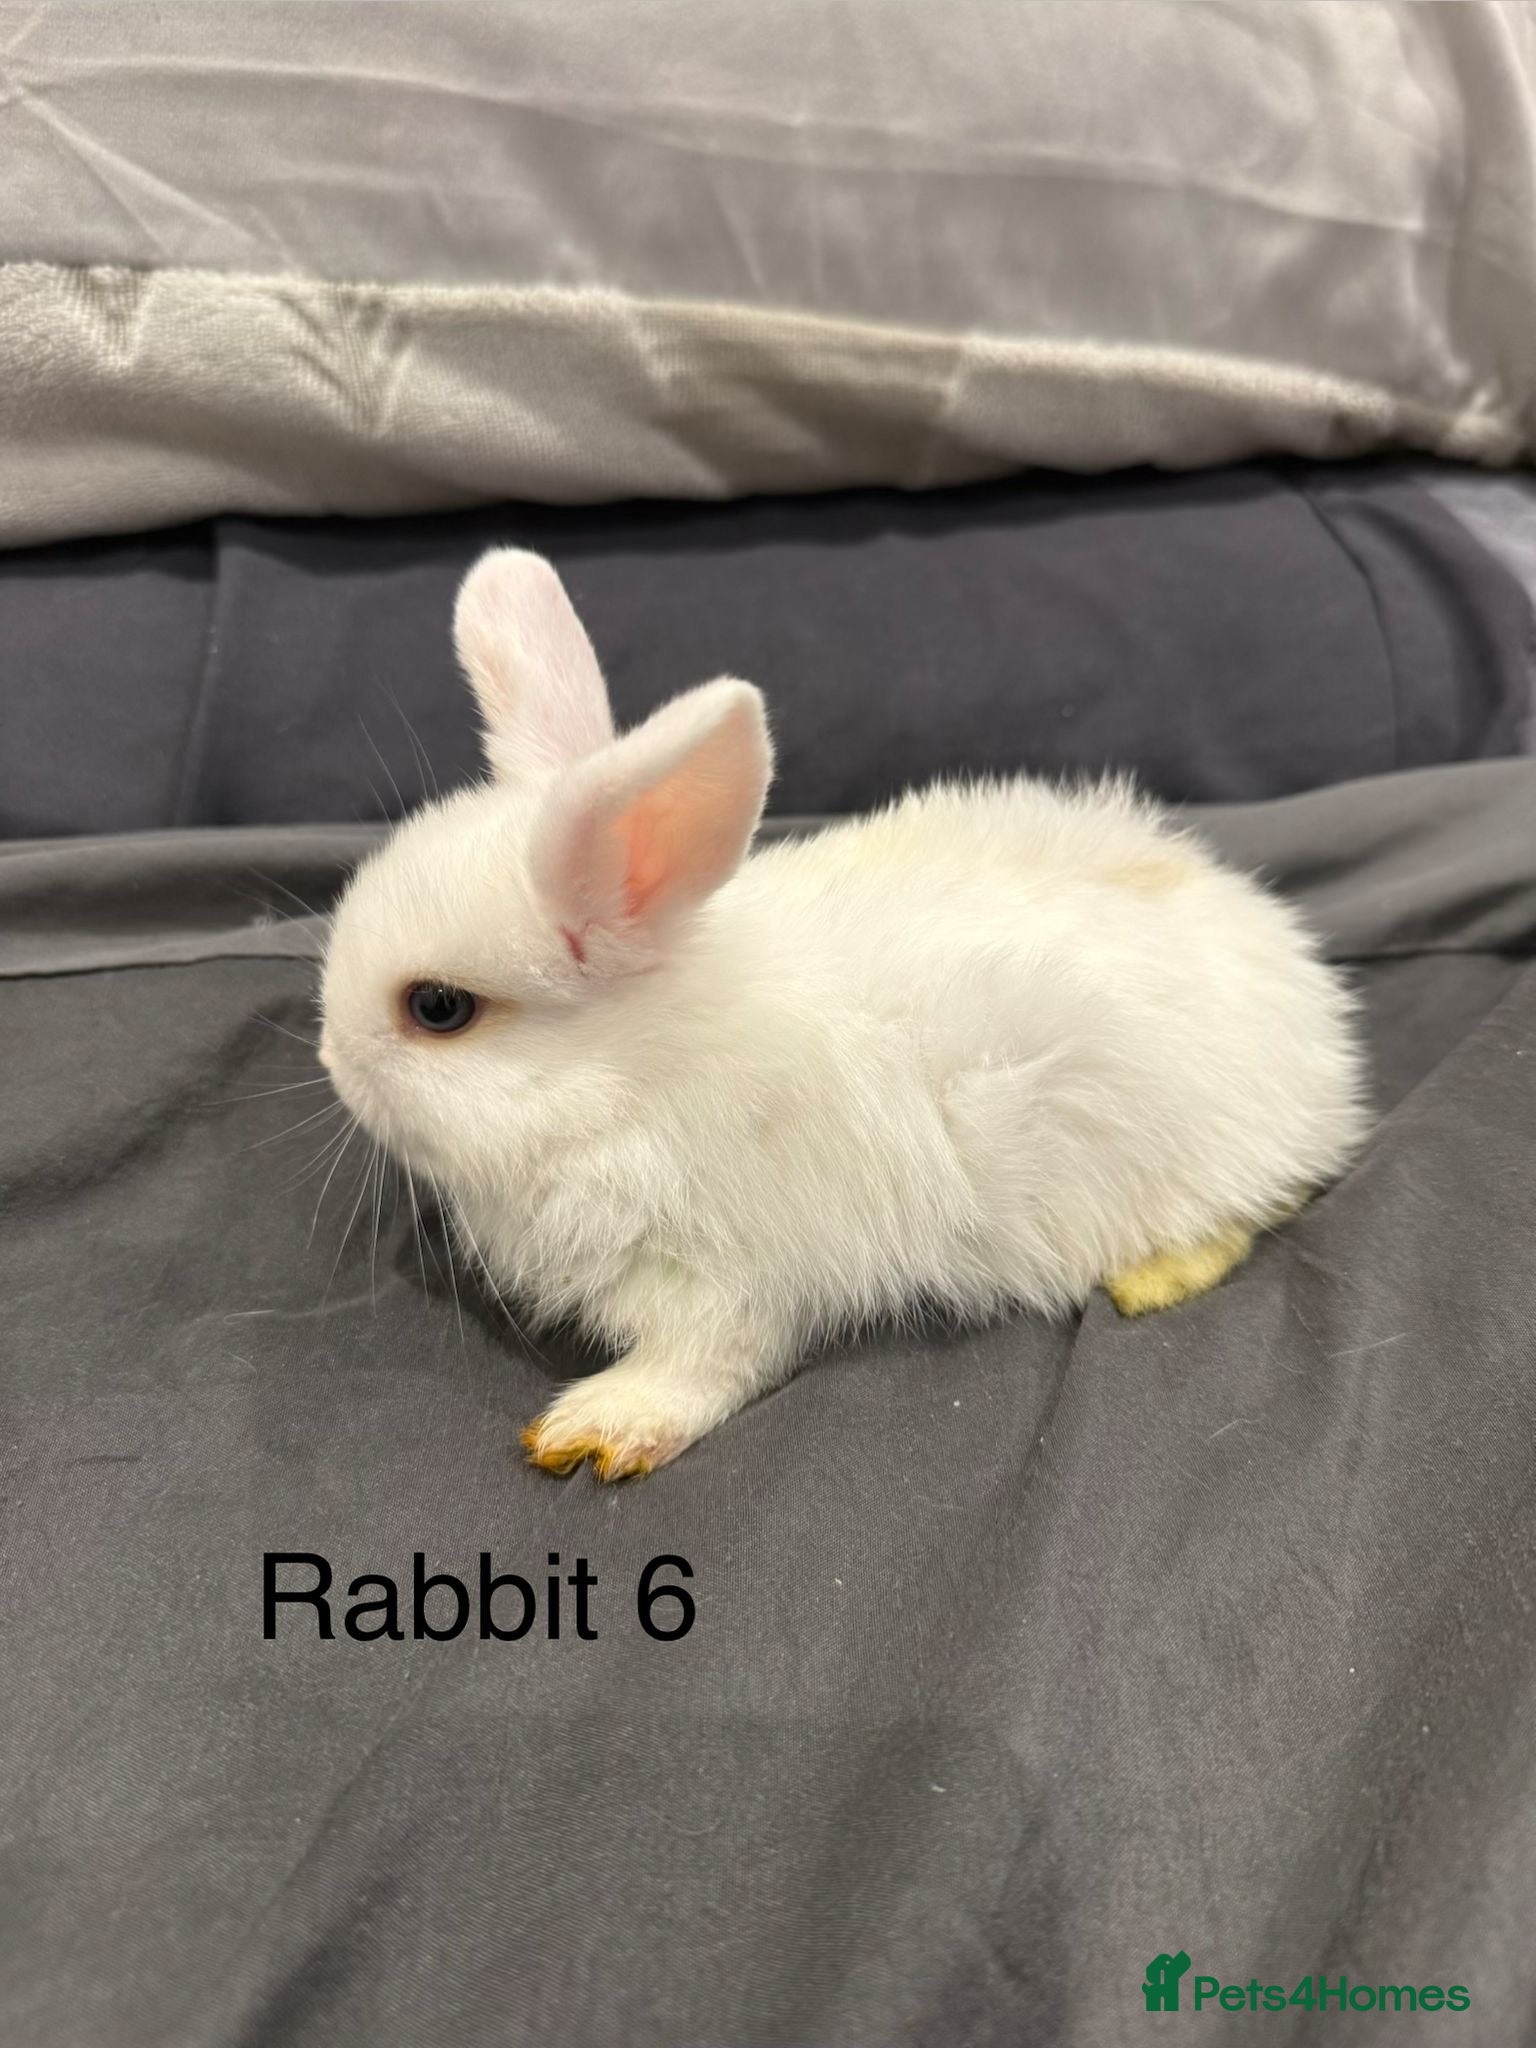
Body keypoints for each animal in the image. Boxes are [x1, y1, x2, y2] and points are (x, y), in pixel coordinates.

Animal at [318, 548, 1367, 1480]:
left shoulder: (722, 1278)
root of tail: (1318, 1020)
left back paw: (1152, 1279)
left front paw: (600, 1428)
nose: (330, 1059)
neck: (627, 1077)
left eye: (438, 1008)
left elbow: (708, 1365)